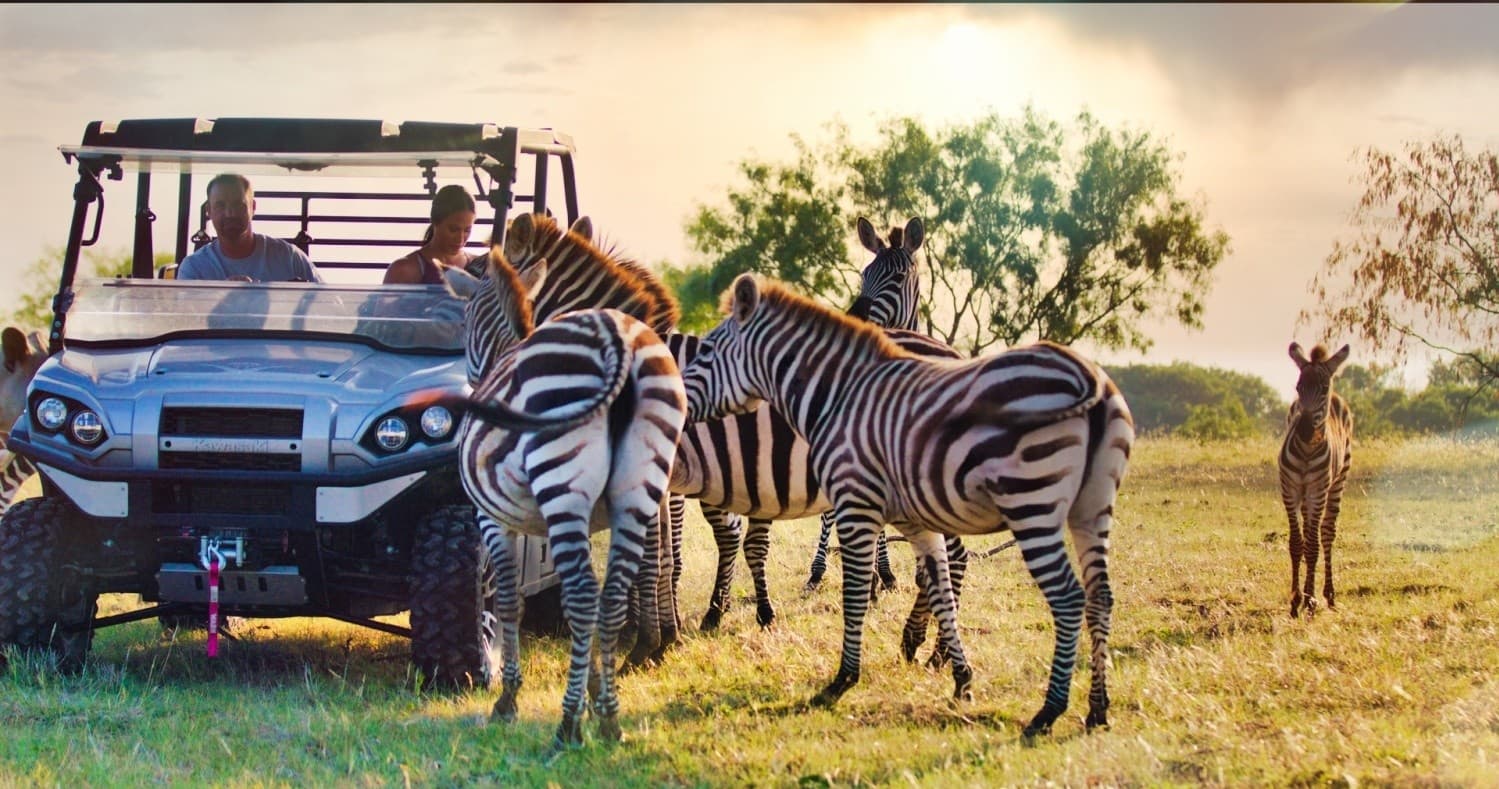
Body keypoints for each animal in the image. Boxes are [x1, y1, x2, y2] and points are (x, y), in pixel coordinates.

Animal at [448, 250, 685, 751]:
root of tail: (617, 341)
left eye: (461, 323)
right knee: (607, 598)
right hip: (636, 494)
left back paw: (567, 726)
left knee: (580, 596)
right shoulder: (593, 521)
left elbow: (508, 602)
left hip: (561, 486)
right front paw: (595, 694)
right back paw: (609, 720)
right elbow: (591, 605)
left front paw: (508, 700)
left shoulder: (493, 518)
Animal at [679, 274, 1134, 737]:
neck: (836, 395)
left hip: (1031, 504)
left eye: (707, 352)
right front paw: (960, 678)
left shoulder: (855, 504)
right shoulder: (913, 520)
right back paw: (1097, 709)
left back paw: (1049, 710)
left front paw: (843, 678)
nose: (676, 399)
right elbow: (940, 586)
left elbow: (855, 592)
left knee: (1068, 596)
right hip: (1093, 507)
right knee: (1100, 595)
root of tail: (1090, 376)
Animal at [1278, 342, 1353, 618]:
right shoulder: (1289, 489)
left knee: (1326, 533)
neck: (1307, 450)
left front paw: (1309, 600)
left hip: (1335, 484)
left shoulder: (1318, 491)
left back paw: (1328, 595)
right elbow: (1296, 544)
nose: (1304, 430)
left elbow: (1312, 546)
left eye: (1322, 389)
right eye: (1298, 388)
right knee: (1311, 531)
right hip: (1305, 493)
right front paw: (1295, 600)